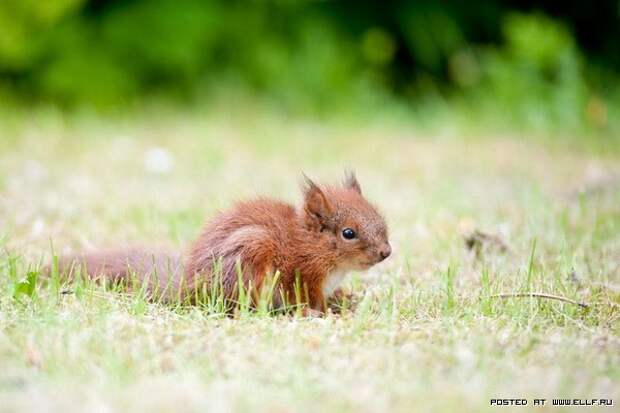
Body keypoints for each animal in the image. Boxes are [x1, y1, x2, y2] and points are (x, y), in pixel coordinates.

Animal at [58, 172, 390, 314]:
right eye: (348, 233)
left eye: (379, 216)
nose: (386, 252)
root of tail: (191, 289)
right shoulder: (302, 275)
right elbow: (305, 299)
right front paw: (323, 312)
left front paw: (343, 298)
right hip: (249, 257)